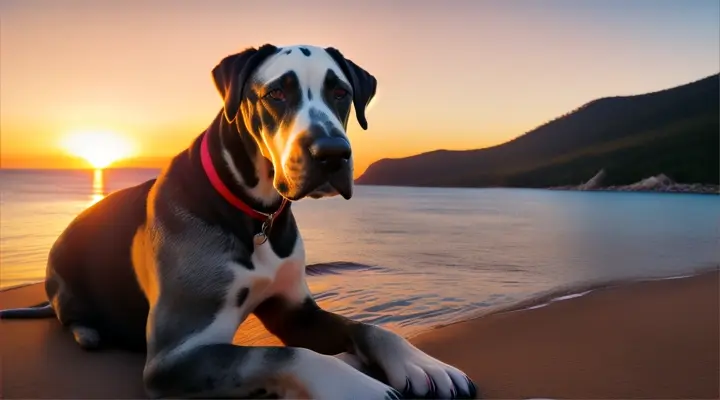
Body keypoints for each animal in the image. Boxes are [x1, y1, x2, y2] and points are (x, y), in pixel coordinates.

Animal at [4, 43, 484, 400]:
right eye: (276, 94)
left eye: (341, 93)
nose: (332, 154)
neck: (257, 215)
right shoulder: (176, 355)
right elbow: (288, 355)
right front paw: (356, 383)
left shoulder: (295, 310)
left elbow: (367, 327)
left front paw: (421, 362)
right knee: (70, 317)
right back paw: (87, 330)